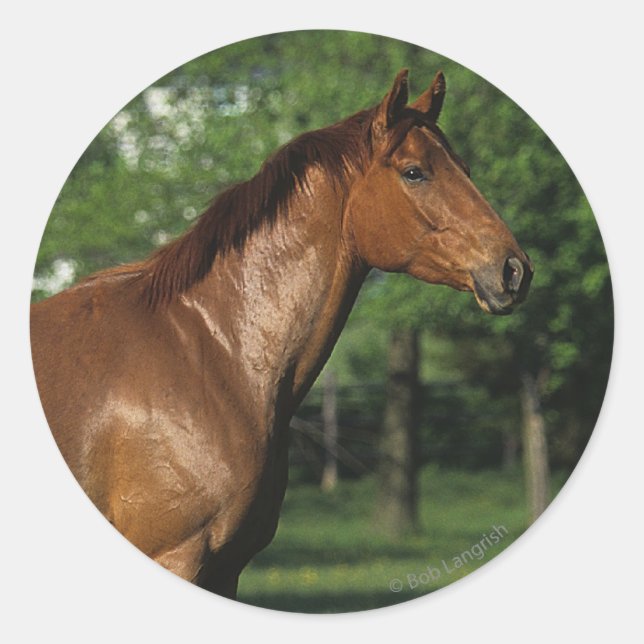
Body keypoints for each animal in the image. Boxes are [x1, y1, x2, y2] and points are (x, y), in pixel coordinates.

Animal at [31, 70, 533, 599]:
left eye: (465, 167)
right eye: (414, 172)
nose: (514, 269)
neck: (207, 354)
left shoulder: (226, 569)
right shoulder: (177, 556)